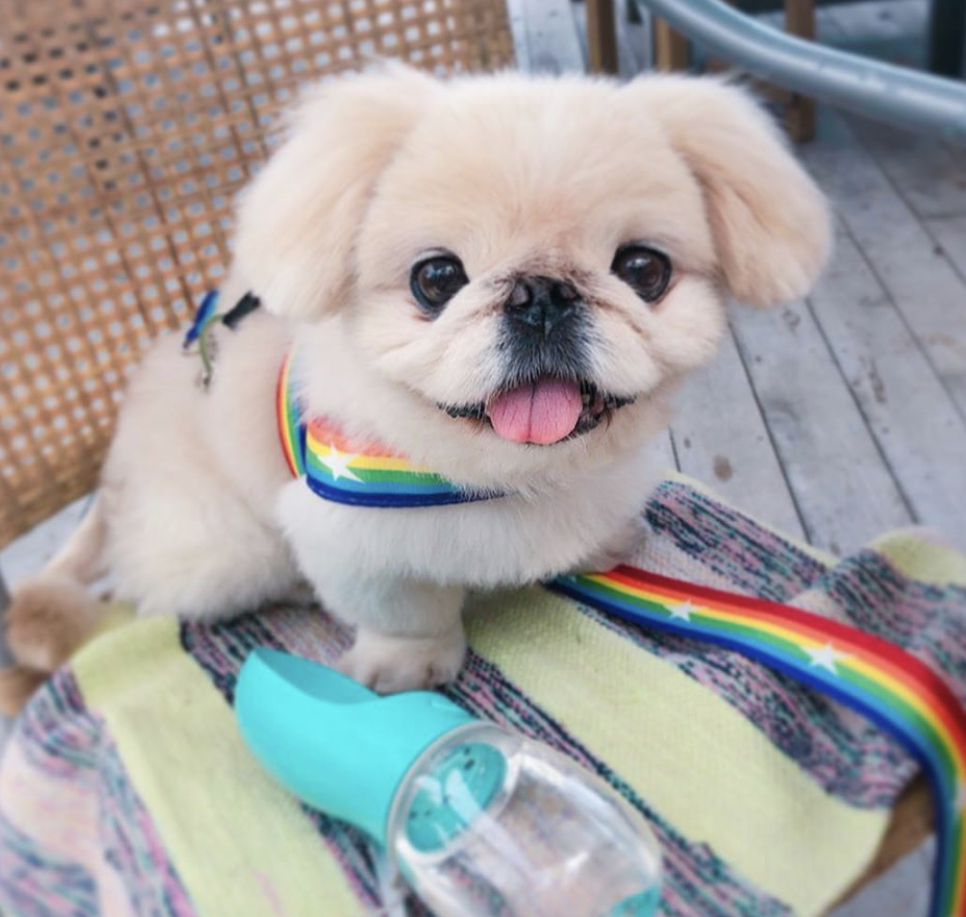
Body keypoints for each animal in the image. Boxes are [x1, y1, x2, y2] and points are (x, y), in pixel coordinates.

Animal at [0, 66, 832, 700]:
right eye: (437, 278)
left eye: (642, 269)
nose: (541, 294)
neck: (507, 478)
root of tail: (114, 474)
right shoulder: (354, 542)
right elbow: (407, 615)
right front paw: (411, 665)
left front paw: (601, 542)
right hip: (223, 551)